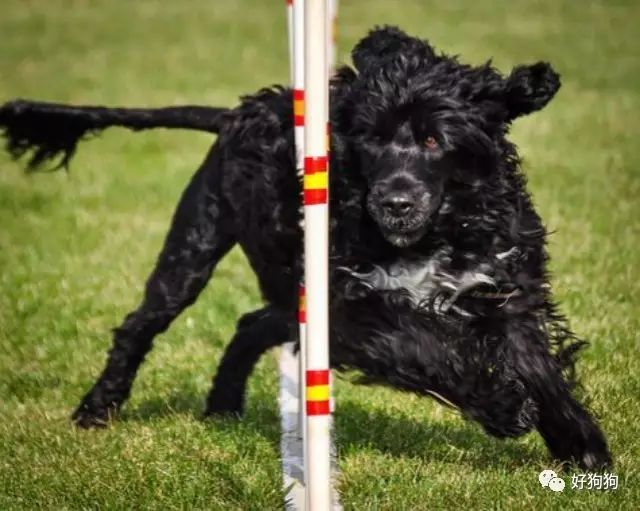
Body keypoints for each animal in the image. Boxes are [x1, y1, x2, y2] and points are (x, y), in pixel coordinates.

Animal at [0, 27, 608, 468]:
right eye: (371, 139)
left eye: (436, 139)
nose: (395, 202)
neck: (434, 235)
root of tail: (231, 115)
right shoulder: (350, 305)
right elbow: (425, 348)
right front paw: (501, 405)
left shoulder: (503, 289)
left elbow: (539, 366)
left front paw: (582, 446)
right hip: (194, 248)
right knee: (139, 327)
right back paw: (96, 410)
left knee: (250, 324)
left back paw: (223, 408)